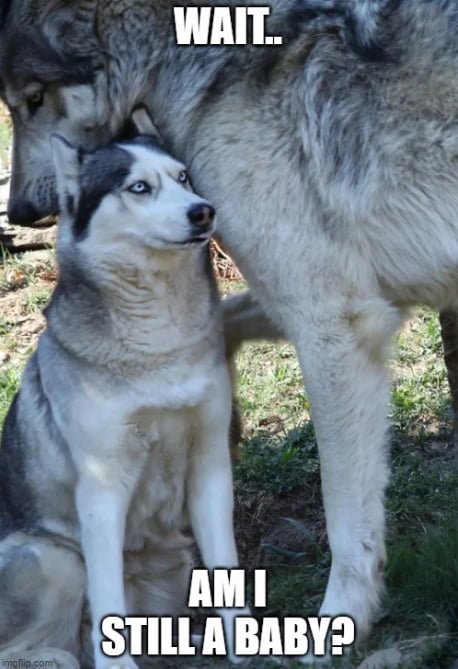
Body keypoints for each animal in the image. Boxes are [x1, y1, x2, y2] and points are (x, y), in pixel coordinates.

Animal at [0, 107, 249, 664]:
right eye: (139, 187)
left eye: (183, 178)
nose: (204, 212)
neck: (158, 345)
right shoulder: (102, 485)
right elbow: (106, 596)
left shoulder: (210, 464)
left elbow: (226, 569)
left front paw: (247, 646)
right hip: (56, 559)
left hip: (174, 563)